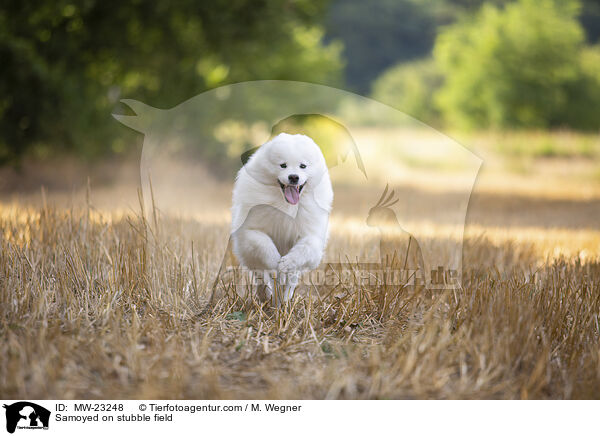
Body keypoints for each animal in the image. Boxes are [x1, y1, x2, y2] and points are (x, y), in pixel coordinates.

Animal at [230, 132, 332, 304]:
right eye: (283, 165)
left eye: (303, 166)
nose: (294, 177)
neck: (286, 206)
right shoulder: (250, 231)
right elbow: (265, 246)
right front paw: (276, 262)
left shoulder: (312, 236)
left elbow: (303, 250)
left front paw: (286, 264)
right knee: (263, 277)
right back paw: (267, 296)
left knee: (289, 282)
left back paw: (284, 302)